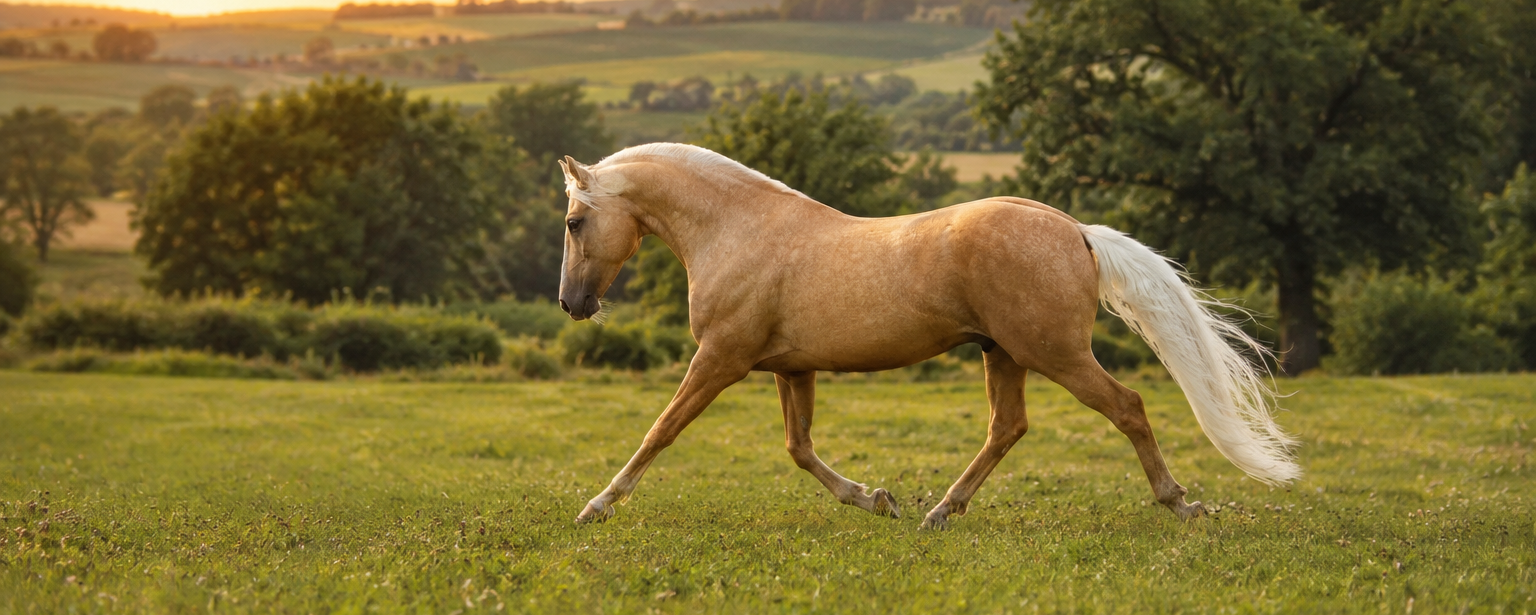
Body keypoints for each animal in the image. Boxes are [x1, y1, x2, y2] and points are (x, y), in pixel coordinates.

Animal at [555, 143, 1300, 529]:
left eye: (572, 221)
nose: (571, 303)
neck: (740, 231)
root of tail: (1076, 230)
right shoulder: (791, 368)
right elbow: (799, 448)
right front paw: (875, 499)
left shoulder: (720, 359)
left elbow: (661, 430)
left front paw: (596, 505)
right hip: (1003, 354)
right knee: (1008, 428)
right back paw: (940, 510)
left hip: (1054, 353)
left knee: (1128, 407)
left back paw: (1180, 503)